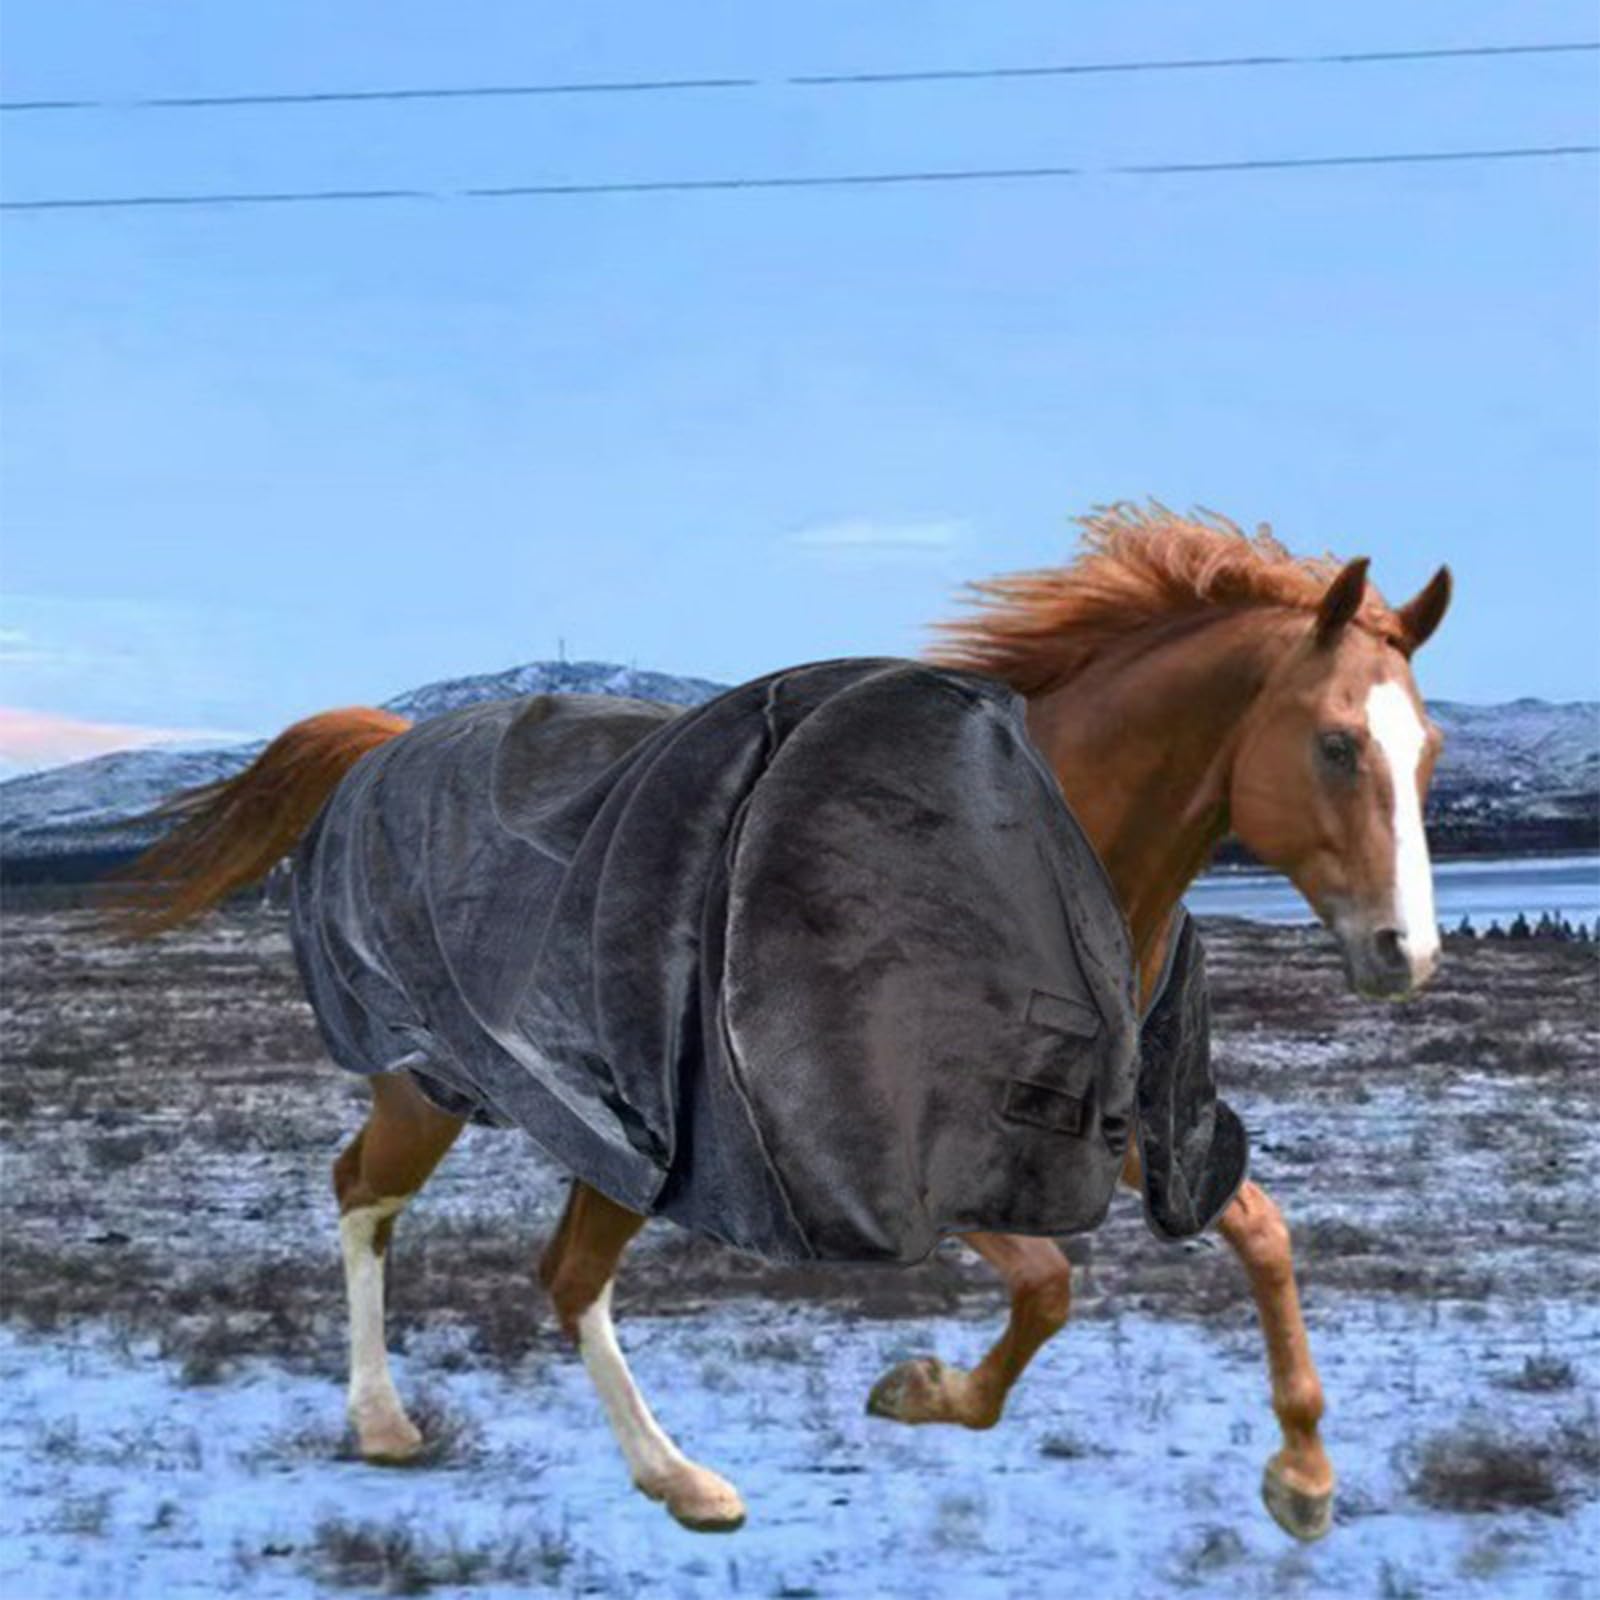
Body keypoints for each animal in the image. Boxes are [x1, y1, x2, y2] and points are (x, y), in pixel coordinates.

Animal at [104, 505, 1451, 1542]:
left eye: (1429, 750)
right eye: (1337, 744)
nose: (1408, 953)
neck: (1022, 846)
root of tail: (387, 747)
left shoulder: (1094, 1116)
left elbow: (1261, 1234)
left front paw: (1303, 1476)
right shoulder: (883, 1149)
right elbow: (1052, 1281)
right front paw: (922, 1390)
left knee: (543, 1263)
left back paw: (656, 1474)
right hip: (435, 1080)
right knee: (385, 1204)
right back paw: (443, 1435)